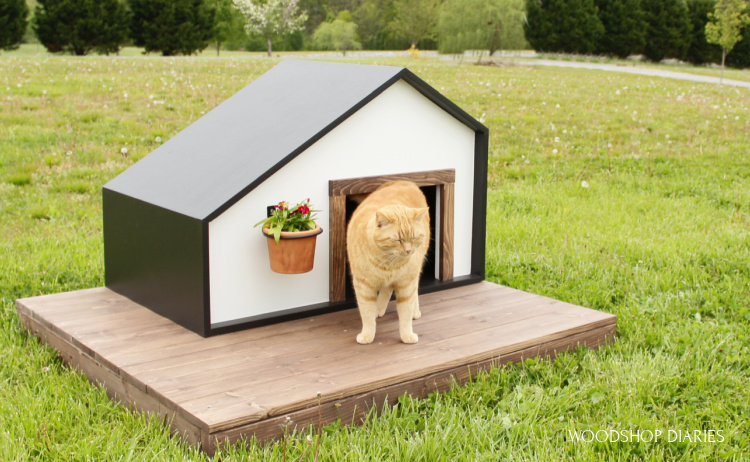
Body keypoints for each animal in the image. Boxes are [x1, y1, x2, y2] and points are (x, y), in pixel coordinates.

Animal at [346, 180, 428, 342]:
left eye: (413, 238)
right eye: (398, 240)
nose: (408, 250)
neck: (388, 263)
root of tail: (406, 181)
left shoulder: (406, 283)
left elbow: (405, 312)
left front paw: (407, 335)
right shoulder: (363, 286)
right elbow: (367, 313)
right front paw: (367, 335)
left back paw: (414, 311)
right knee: (387, 289)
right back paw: (379, 308)